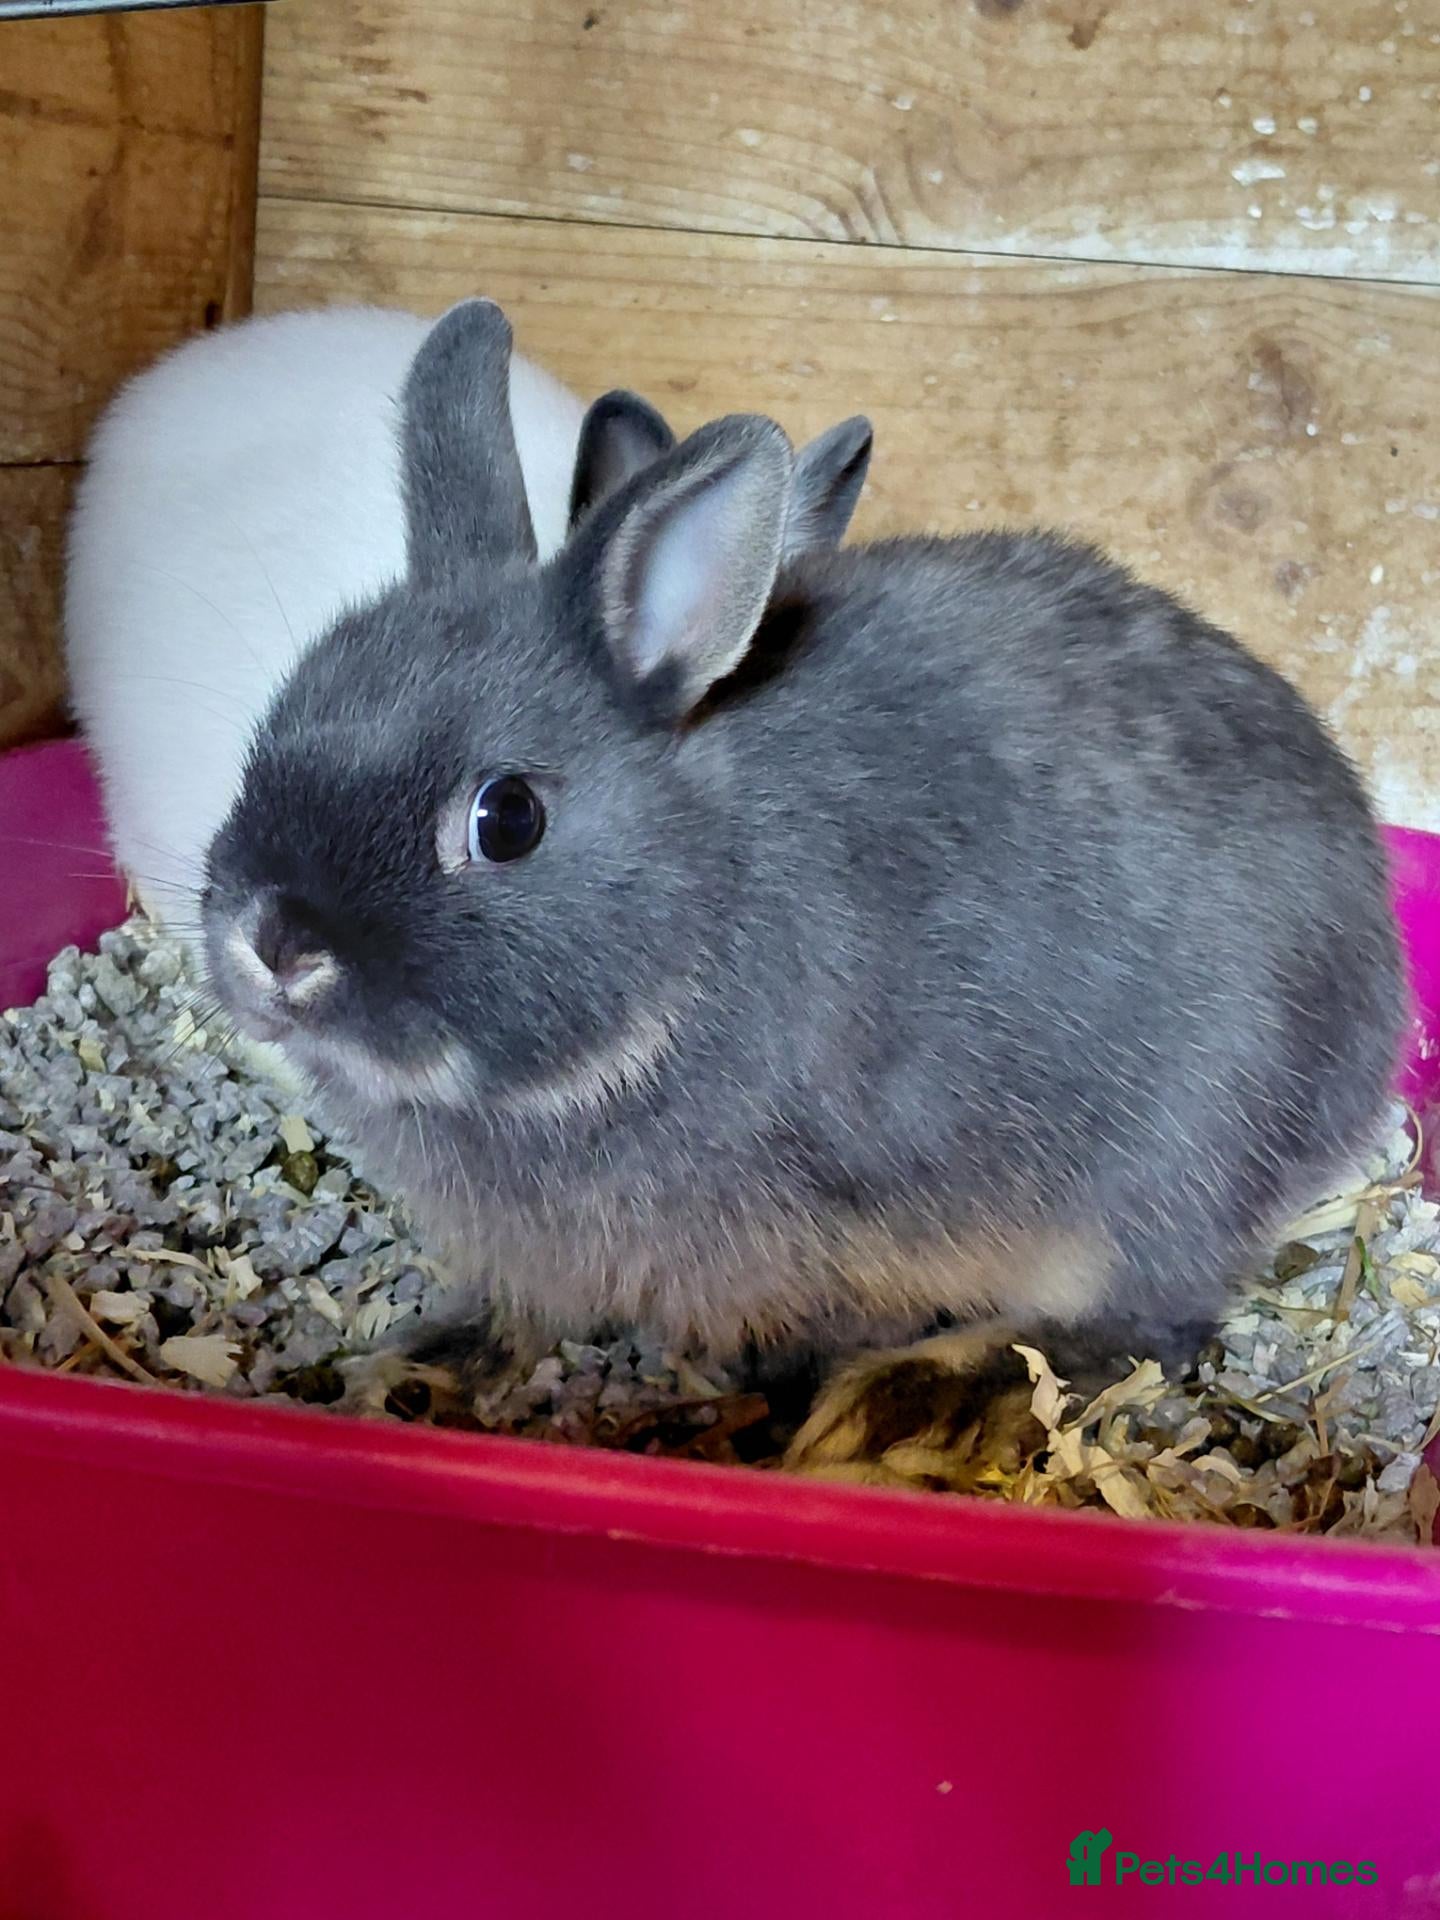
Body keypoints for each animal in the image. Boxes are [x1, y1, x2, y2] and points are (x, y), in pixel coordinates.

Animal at [200, 299, 1404, 1472]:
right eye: (281, 716)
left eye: (507, 818)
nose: (276, 943)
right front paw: (427, 1363)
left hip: (1163, 1168)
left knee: (1143, 1324)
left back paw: (908, 1410)